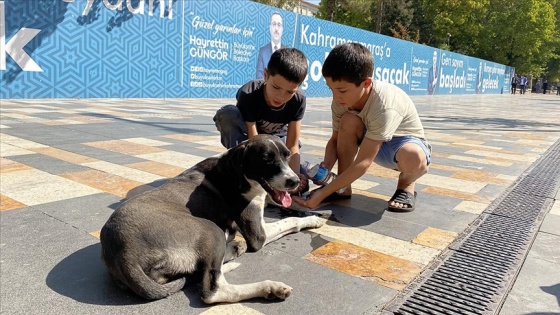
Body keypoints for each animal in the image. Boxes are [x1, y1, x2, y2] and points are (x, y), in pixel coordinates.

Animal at [98, 135, 322, 304]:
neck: (236, 171)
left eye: (287, 156)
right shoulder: (258, 235)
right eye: (267, 158)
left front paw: (312, 213)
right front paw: (311, 219)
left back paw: (234, 249)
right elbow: (290, 221)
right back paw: (269, 286)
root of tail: (122, 253)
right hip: (210, 228)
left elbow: (291, 210)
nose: (294, 181)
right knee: (213, 290)